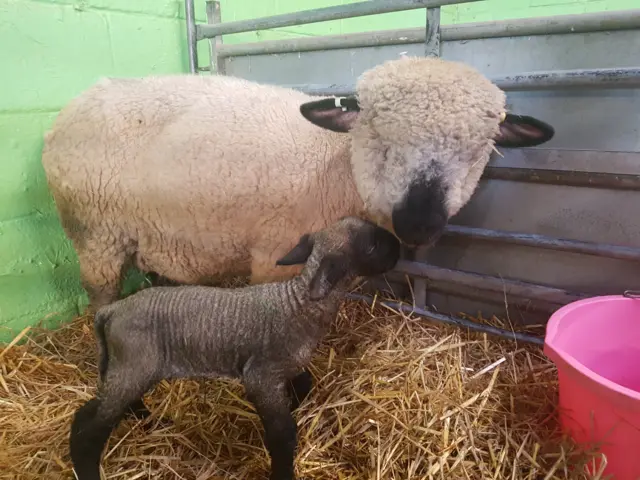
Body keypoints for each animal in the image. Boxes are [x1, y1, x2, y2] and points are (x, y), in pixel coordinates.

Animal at [42, 54, 552, 310]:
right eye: (378, 136)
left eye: (478, 150)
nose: (419, 223)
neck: (337, 162)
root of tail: (70, 108)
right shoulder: (275, 256)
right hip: (96, 233)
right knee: (101, 294)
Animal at [69, 218, 400, 480]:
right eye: (371, 246)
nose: (399, 246)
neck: (299, 305)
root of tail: (111, 311)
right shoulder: (261, 377)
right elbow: (282, 434)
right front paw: (282, 471)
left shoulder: (286, 368)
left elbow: (304, 384)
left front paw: (294, 405)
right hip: (133, 367)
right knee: (91, 426)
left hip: (129, 368)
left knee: (98, 409)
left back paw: (150, 420)